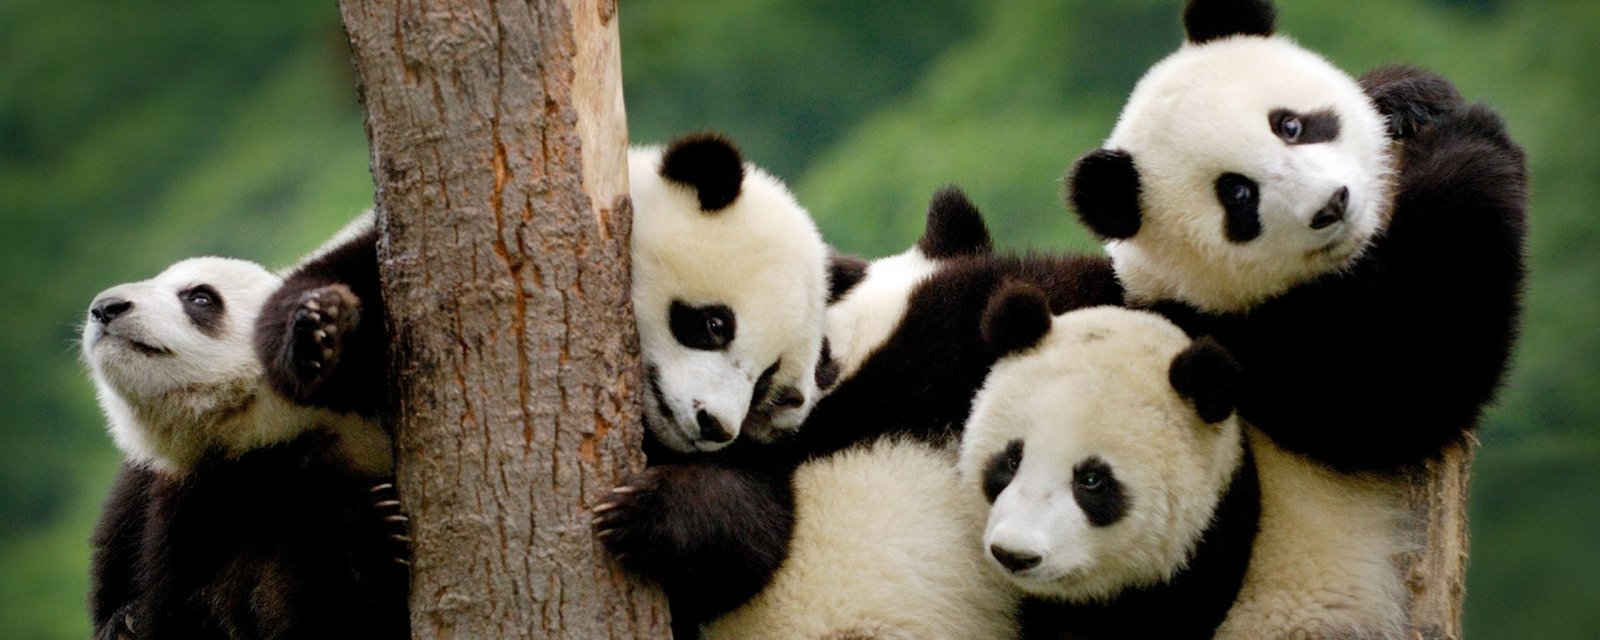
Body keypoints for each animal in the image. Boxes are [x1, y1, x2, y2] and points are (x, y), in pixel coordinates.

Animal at [1064, 0, 1527, 636]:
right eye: (1237, 195)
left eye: (1290, 125)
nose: (1332, 205)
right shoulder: (1247, 348)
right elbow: (1404, 378)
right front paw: (1472, 142)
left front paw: (1409, 96)